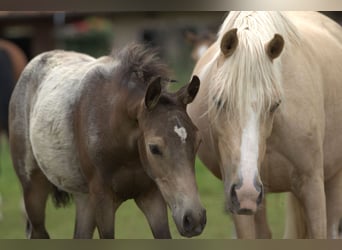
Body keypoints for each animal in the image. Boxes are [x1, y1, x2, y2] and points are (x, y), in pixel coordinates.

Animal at [8, 44, 206, 239]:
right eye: (154, 148)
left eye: (198, 141)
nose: (194, 218)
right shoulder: (103, 200)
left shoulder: (152, 196)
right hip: (33, 190)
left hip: (84, 198)